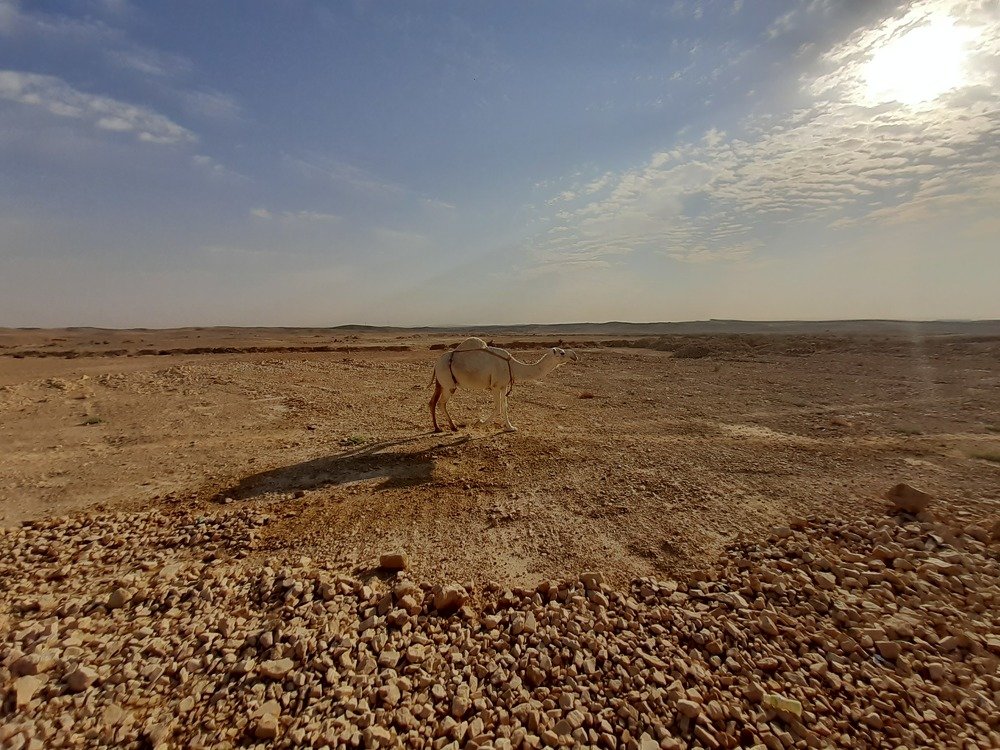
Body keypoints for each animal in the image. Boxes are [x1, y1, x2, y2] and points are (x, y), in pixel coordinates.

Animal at [429, 337, 579, 432]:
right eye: (562, 352)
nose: (575, 355)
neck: (512, 365)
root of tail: (436, 363)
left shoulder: (504, 385)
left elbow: (505, 407)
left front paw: (510, 427)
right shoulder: (495, 386)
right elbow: (498, 408)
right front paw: (479, 423)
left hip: (441, 383)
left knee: (432, 402)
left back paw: (438, 428)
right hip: (449, 384)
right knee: (441, 403)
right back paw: (452, 427)